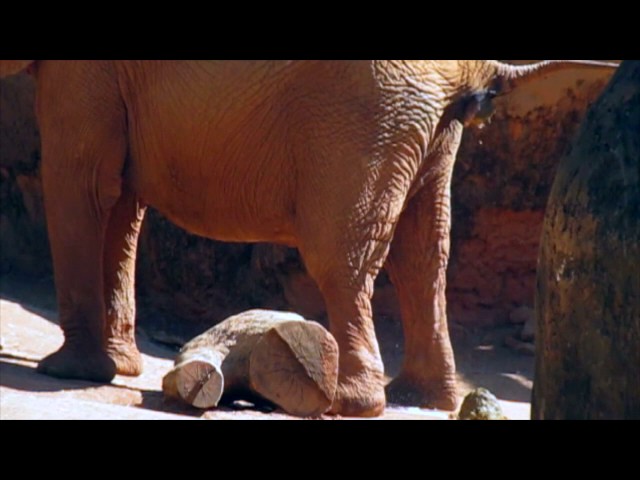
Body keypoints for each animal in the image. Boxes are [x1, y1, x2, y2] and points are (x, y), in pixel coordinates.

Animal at [0, 61, 620, 416]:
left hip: (364, 120)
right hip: (428, 127)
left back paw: (348, 401)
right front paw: (122, 366)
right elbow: (121, 202)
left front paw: (67, 371)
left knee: (340, 257)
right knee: (425, 255)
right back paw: (420, 398)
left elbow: (82, 184)